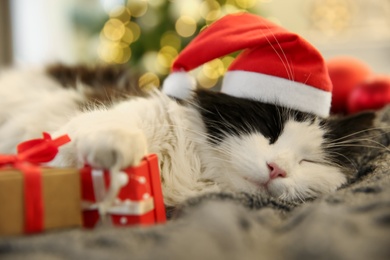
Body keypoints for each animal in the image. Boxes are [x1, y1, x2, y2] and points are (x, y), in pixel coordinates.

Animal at [0, 64, 378, 206]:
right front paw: (115, 153)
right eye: (269, 130)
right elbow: (106, 134)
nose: (277, 169)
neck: (191, 173)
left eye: (307, 161)